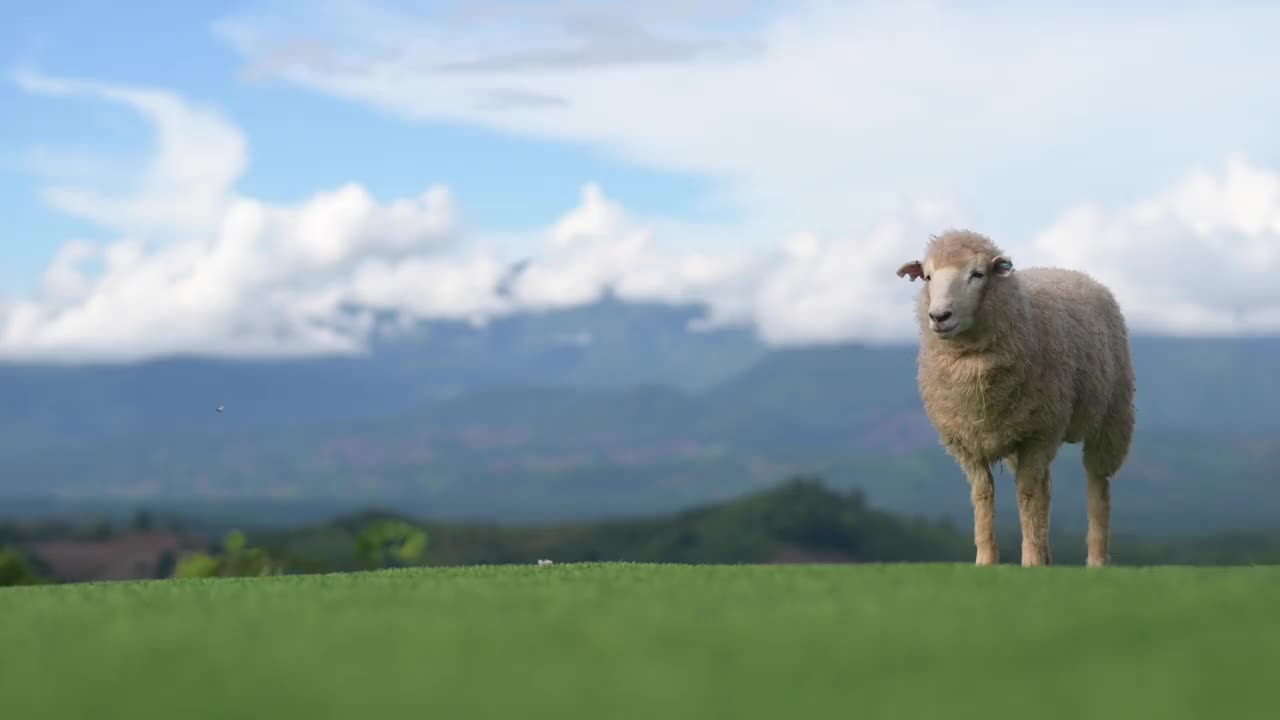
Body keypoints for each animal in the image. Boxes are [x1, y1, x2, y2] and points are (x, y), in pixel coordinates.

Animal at [896, 229, 1136, 566]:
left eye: (977, 274)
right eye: (928, 277)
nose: (939, 316)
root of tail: (1072, 272)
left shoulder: (1038, 434)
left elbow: (1027, 495)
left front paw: (1030, 560)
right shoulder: (967, 442)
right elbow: (984, 495)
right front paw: (986, 559)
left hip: (1112, 415)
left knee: (1097, 483)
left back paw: (1097, 560)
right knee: (1047, 487)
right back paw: (1049, 557)